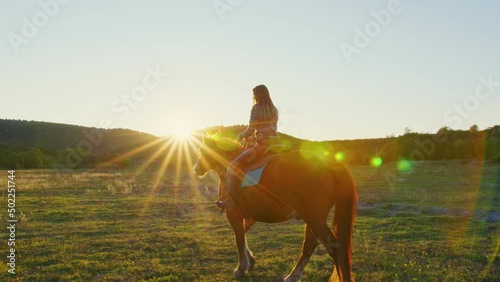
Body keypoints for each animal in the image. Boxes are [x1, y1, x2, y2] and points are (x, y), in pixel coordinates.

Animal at [193, 133, 358, 280]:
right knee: (310, 245)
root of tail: (332, 164)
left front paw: (241, 268)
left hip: (314, 218)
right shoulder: (250, 216)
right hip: (313, 218)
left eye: (201, 150)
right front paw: (250, 260)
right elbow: (243, 235)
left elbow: (239, 238)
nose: (195, 168)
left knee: (334, 247)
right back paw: (293, 276)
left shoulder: (233, 213)